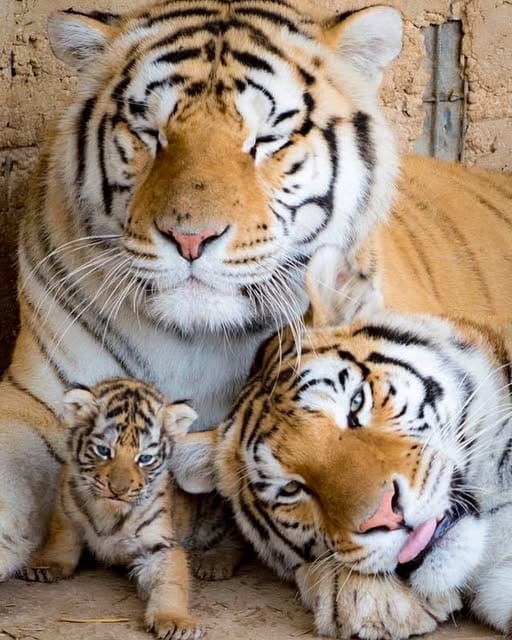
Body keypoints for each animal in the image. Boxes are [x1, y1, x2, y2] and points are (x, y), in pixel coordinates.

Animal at [18, 378, 229, 640]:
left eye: (145, 458)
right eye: (104, 451)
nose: (118, 489)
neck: (108, 512)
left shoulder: (160, 544)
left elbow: (171, 581)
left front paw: (175, 620)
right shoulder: (66, 510)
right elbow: (60, 539)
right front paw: (44, 564)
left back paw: (214, 562)